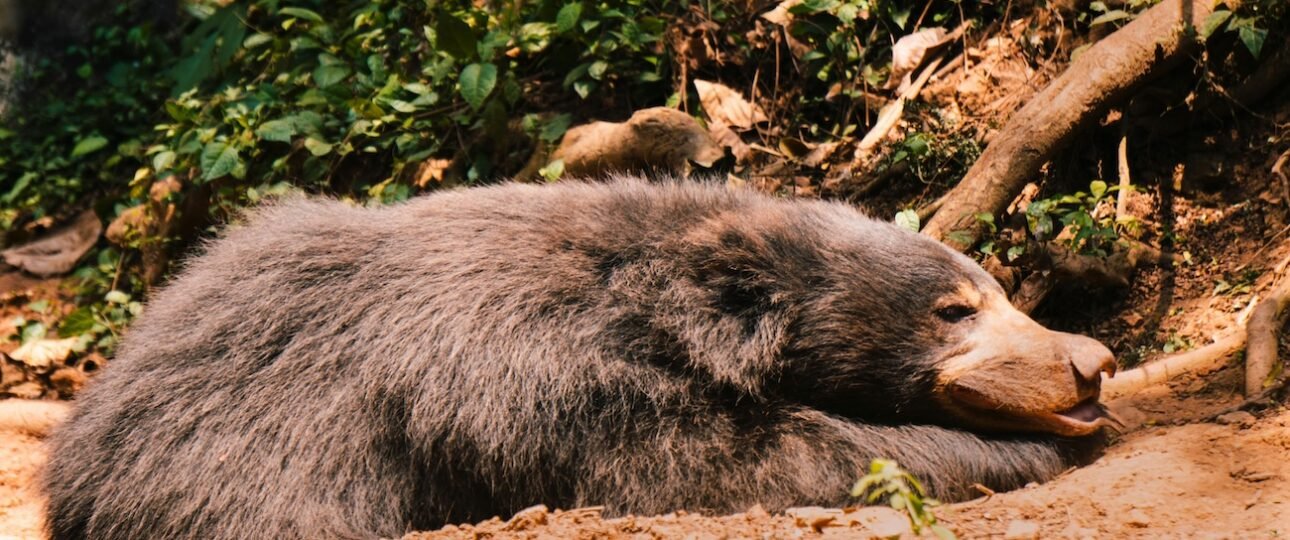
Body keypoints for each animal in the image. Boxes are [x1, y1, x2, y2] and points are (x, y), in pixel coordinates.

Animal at [43, 178, 1116, 539]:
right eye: (953, 311)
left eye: (1001, 290)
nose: (1091, 362)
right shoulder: (531, 380)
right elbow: (723, 464)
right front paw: (1026, 451)